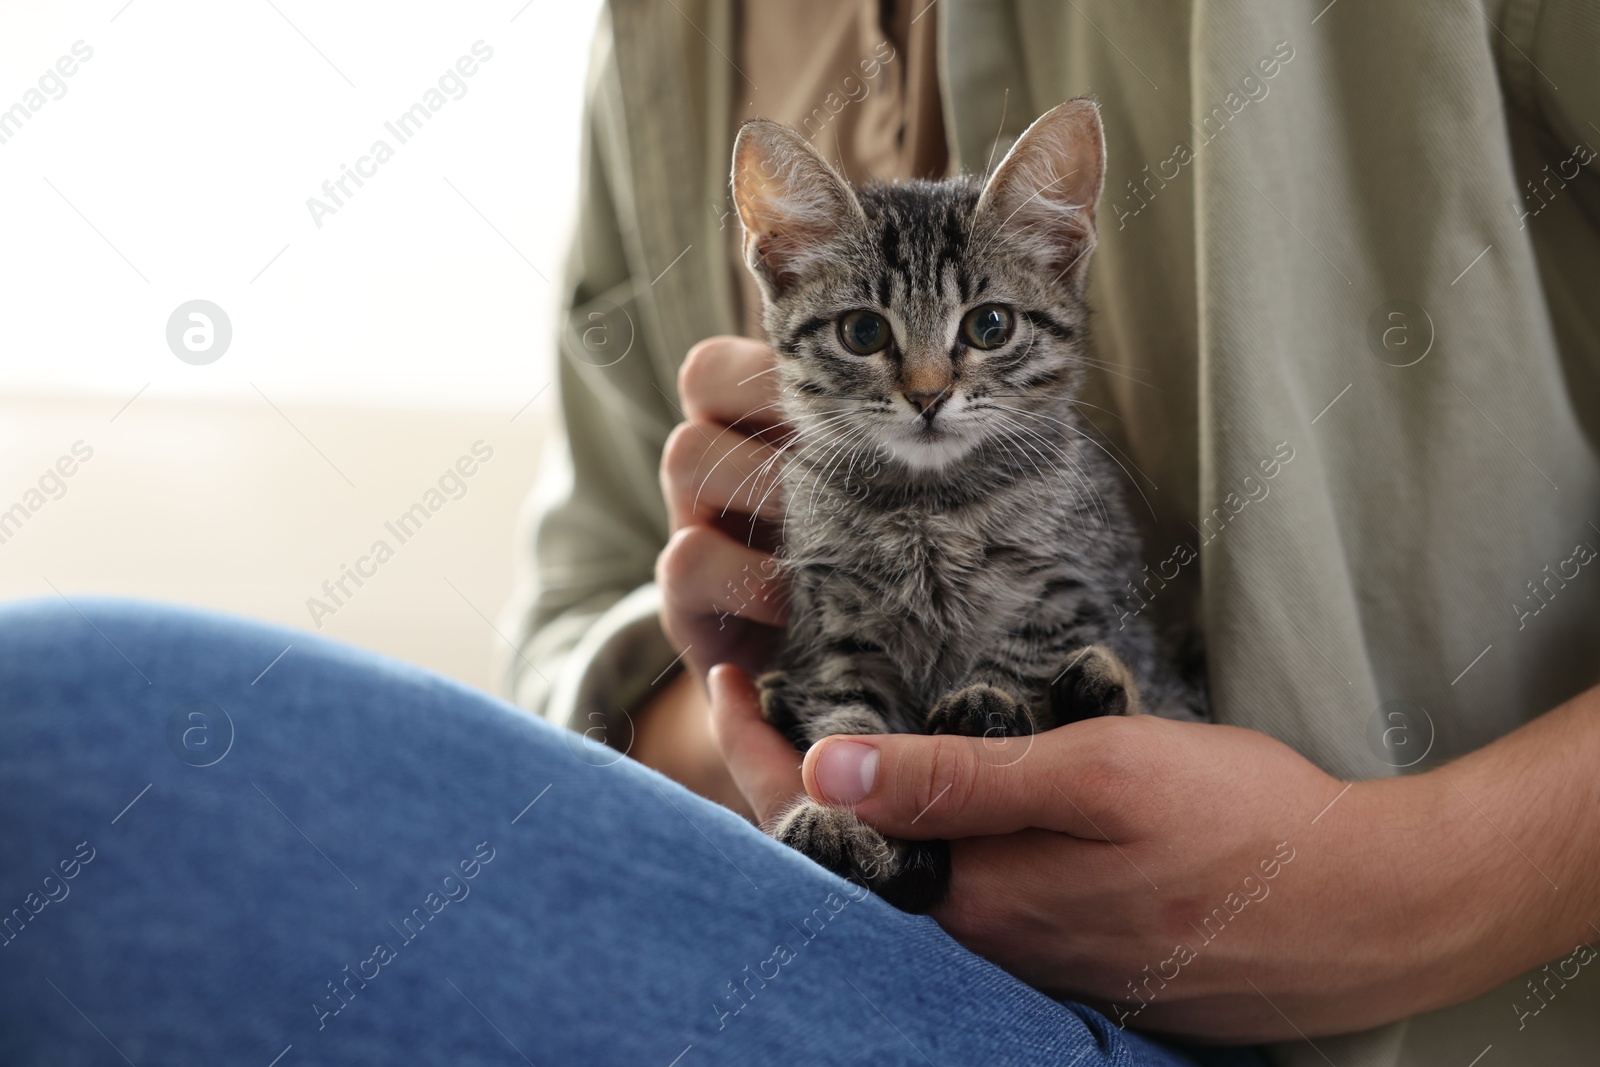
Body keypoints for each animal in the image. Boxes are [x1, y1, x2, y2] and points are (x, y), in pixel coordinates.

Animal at [732, 99, 1203, 915]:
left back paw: (1095, 685)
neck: (933, 508)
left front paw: (989, 698)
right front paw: (838, 812)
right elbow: (845, 719)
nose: (926, 396)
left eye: (990, 326)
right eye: (863, 331)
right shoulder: (837, 627)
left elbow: (1027, 648)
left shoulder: (1072, 582)